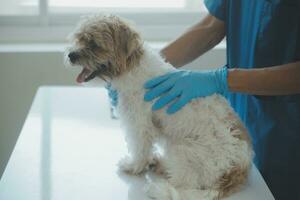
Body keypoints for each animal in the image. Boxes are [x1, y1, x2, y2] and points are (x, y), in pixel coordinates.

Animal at [65, 14, 253, 199]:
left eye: (94, 44)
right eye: (79, 38)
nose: (71, 55)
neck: (131, 66)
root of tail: (237, 170)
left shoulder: (139, 125)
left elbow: (140, 149)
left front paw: (134, 166)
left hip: (182, 149)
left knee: (183, 185)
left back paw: (160, 184)